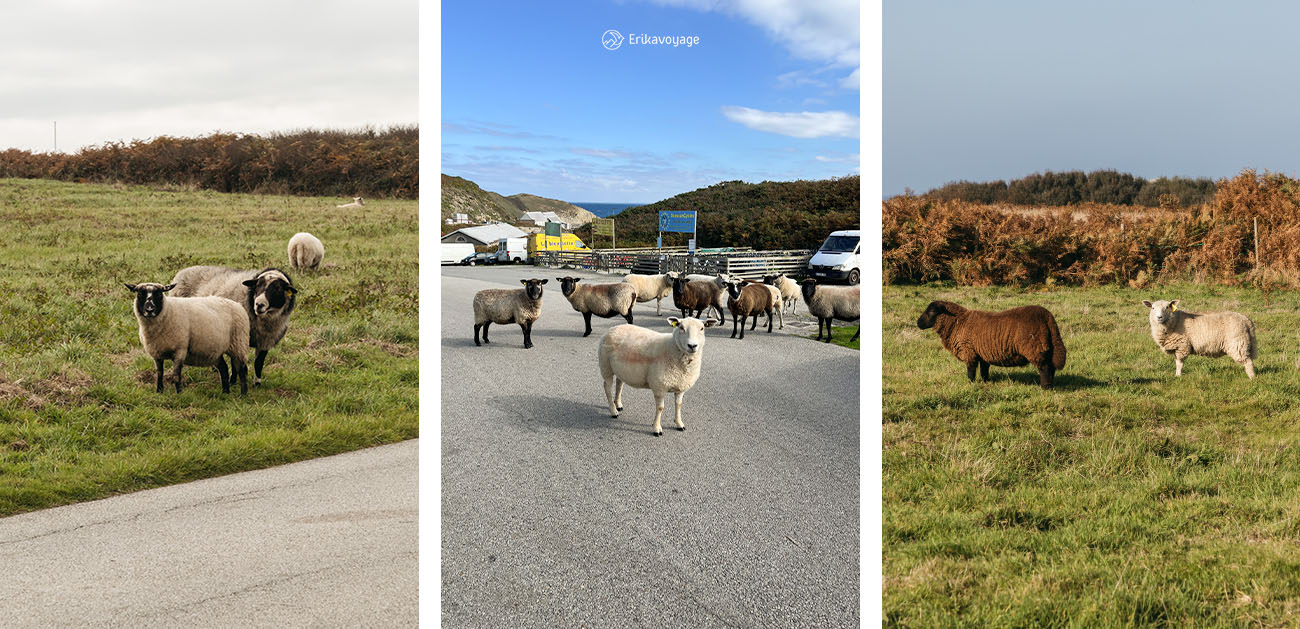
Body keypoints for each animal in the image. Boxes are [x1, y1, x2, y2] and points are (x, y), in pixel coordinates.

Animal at [916, 300, 1066, 389]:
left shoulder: (969, 352)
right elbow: (984, 370)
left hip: (1035, 348)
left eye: (932, 311)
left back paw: (1045, 387)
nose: (918, 323)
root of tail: (1048, 317)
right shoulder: (983, 353)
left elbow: (971, 371)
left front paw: (971, 384)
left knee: (1045, 368)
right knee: (1051, 367)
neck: (957, 322)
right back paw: (1051, 385)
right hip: (1048, 347)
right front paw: (986, 381)